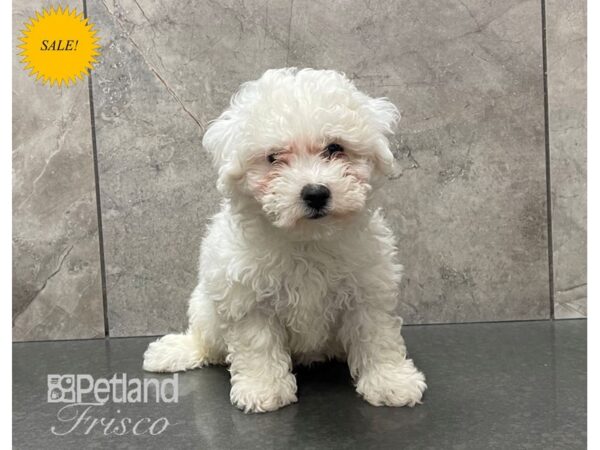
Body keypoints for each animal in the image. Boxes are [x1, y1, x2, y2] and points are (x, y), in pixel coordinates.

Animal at [144, 67, 426, 414]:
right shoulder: (247, 298)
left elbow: (377, 336)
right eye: (274, 158)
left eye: (335, 148)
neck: (307, 239)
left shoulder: (368, 290)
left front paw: (391, 381)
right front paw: (263, 389)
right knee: (206, 342)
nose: (316, 193)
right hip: (206, 310)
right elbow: (257, 344)